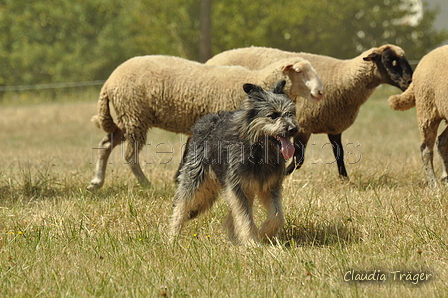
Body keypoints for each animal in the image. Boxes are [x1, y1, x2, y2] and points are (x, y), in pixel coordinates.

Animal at [87, 54, 324, 190]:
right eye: (299, 71)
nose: (320, 92)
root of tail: (109, 81)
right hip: (134, 116)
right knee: (129, 155)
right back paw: (145, 184)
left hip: (126, 118)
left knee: (105, 145)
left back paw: (96, 182)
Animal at [170, 79, 300, 244]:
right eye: (273, 115)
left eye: (291, 113)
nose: (293, 129)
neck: (259, 151)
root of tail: (205, 120)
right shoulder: (238, 186)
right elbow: (245, 217)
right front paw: (252, 242)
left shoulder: (270, 186)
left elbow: (277, 215)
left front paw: (265, 233)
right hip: (195, 176)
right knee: (181, 205)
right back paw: (172, 238)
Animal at [206, 44, 412, 179]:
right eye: (390, 61)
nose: (410, 81)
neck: (344, 79)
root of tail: (213, 58)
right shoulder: (303, 127)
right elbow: (298, 159)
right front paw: (284, 175)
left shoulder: (333, 126)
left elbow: (340, 154)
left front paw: (345, 179)